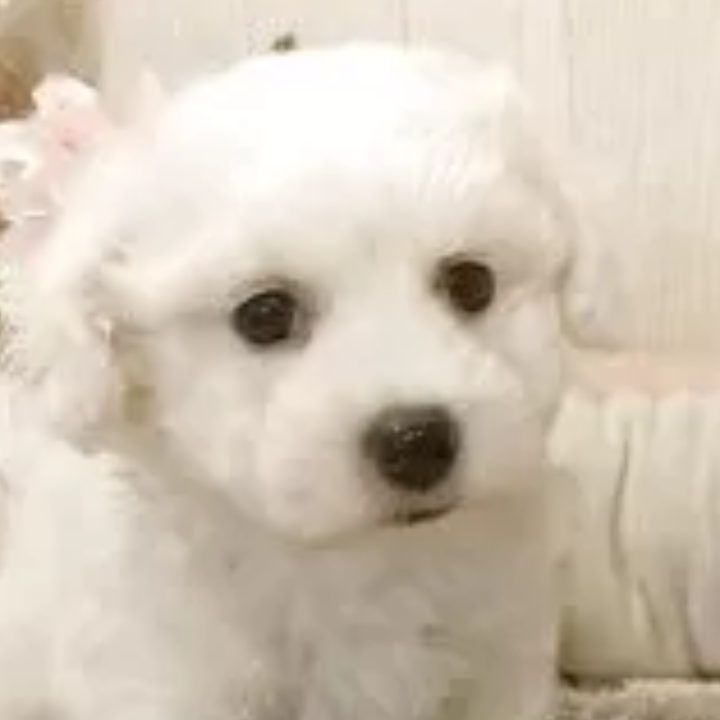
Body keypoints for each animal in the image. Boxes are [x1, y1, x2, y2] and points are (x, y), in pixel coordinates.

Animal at [0, 43, 603, 720]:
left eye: (472, 282)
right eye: (264, 315)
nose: (417, 440)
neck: (360, 556)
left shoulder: (502, 653)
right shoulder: (165, 669)